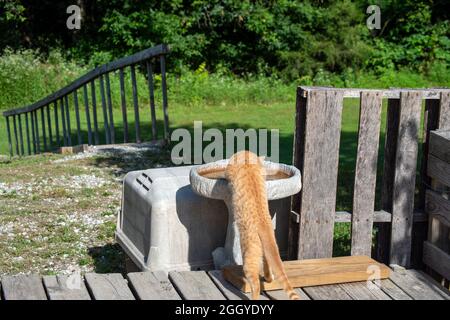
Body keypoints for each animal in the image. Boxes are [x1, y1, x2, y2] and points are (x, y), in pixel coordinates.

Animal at [224, 151, 300, 300]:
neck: (247, 162)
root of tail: (264, 224)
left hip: (249, 258)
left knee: (255, 285)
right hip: (266, 248)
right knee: (267, 265)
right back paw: (269, 278)